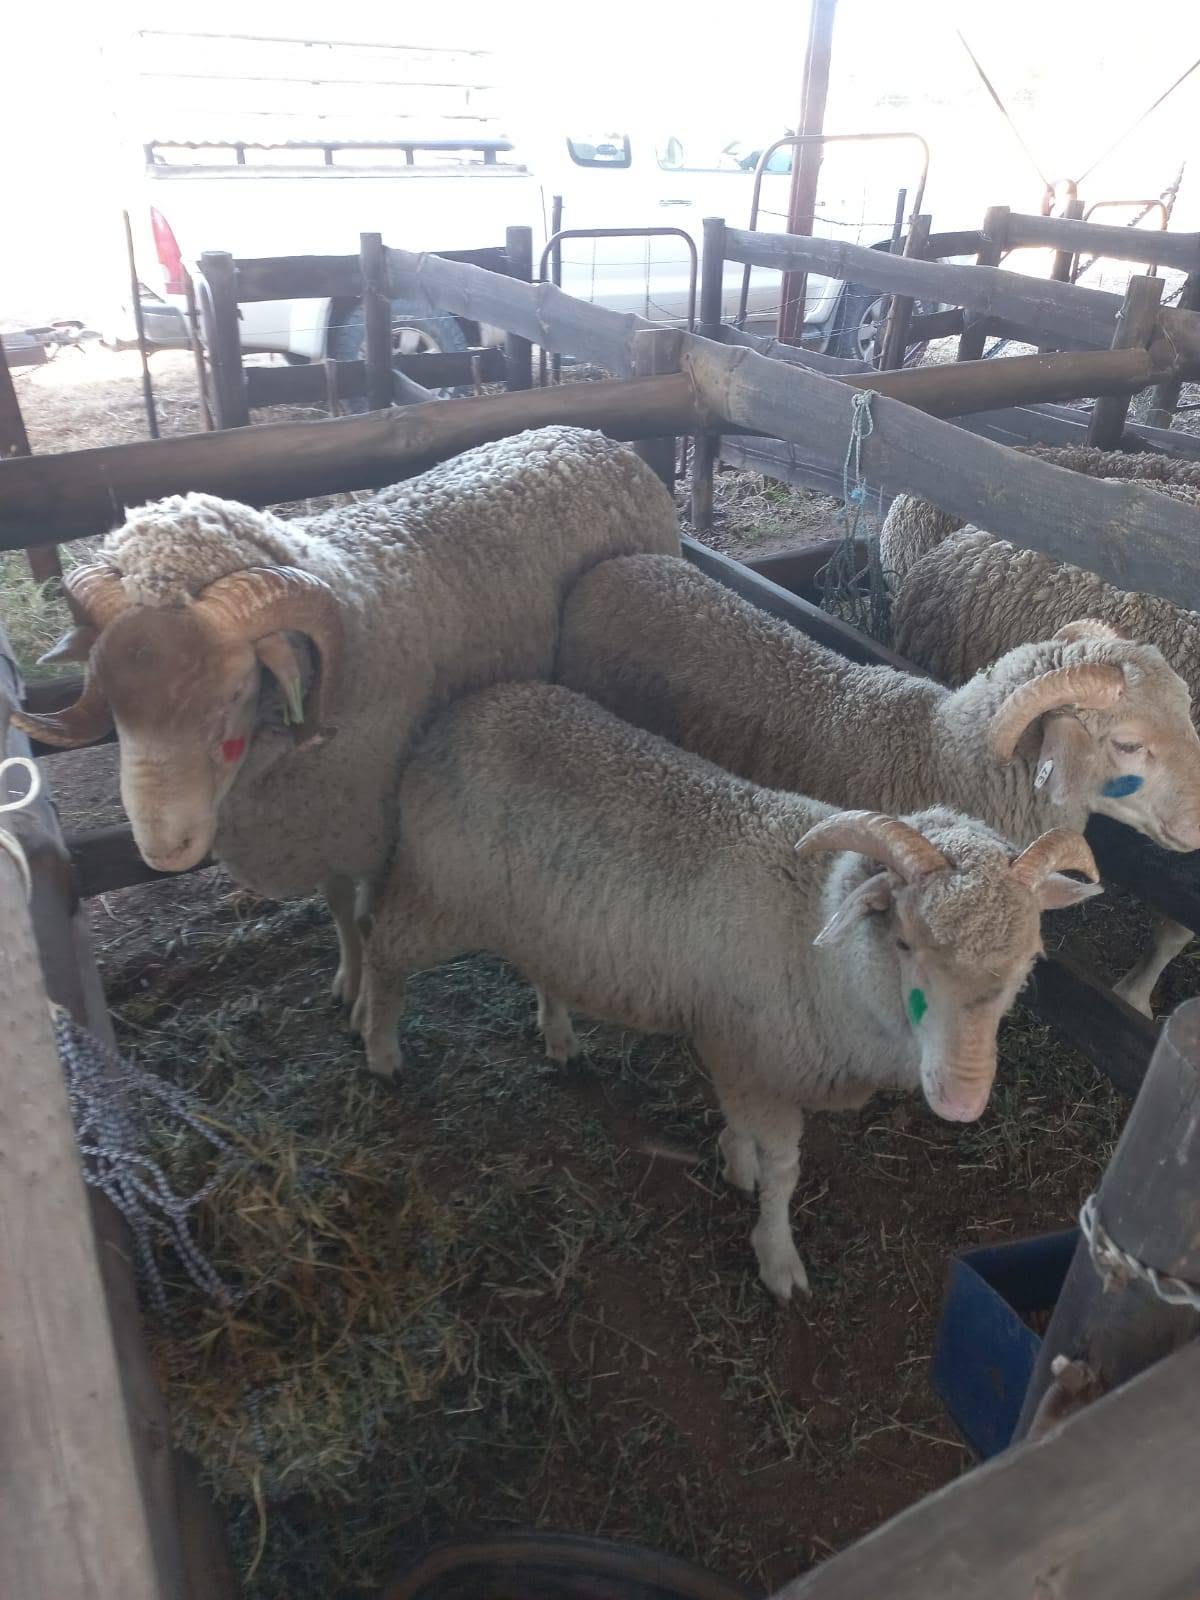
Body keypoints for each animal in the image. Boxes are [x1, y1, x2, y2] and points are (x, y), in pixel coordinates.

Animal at [12, 427, 680, 1004]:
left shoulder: (378, 822)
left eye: (235, 690)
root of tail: (589, 437)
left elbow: (366, 917)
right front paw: (347, 981)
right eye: (107, 690)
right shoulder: (322, 824)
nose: (164, 849)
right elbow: (337, 908)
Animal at [352, 681, 1101, 1301]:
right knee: (380, 947)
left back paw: (559, 1035)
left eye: (1029, 958)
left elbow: (739, 1128)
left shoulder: (734, 1050)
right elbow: (783, 1169)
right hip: (437, 893)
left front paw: (733, 1158)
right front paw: (777, 1254)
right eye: (905, 943)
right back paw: (379, 1046)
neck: (815, 940)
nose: (963, 1099)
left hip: (537, 922)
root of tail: (462, 708)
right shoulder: (757, 1062)